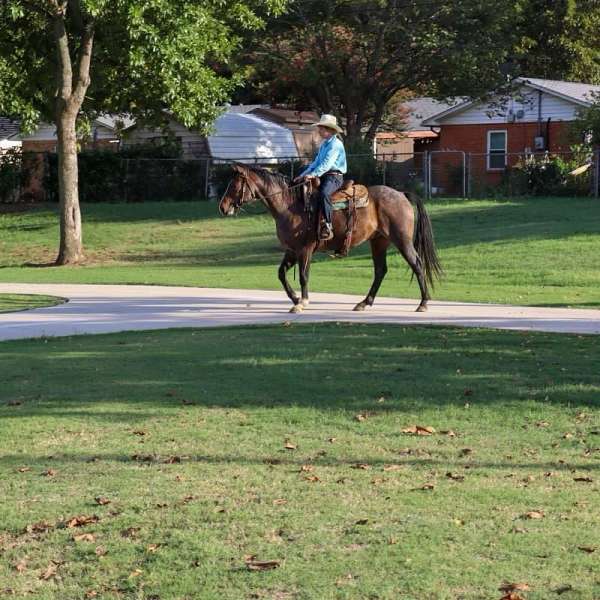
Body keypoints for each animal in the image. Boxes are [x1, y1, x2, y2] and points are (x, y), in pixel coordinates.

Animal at [218, 163, 442, 314]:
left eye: (234, 185)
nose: (223, 207)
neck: (289, 205)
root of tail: (401, 194)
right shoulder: (291, 250)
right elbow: (281, 274)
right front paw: (295, 299)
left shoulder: (305, 250)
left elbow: (303, 276)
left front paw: (302, 303)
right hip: (378, 241)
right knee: (380, 270)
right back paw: (364, 303)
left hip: (402, 240)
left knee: (417, 264)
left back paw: (423, 304)